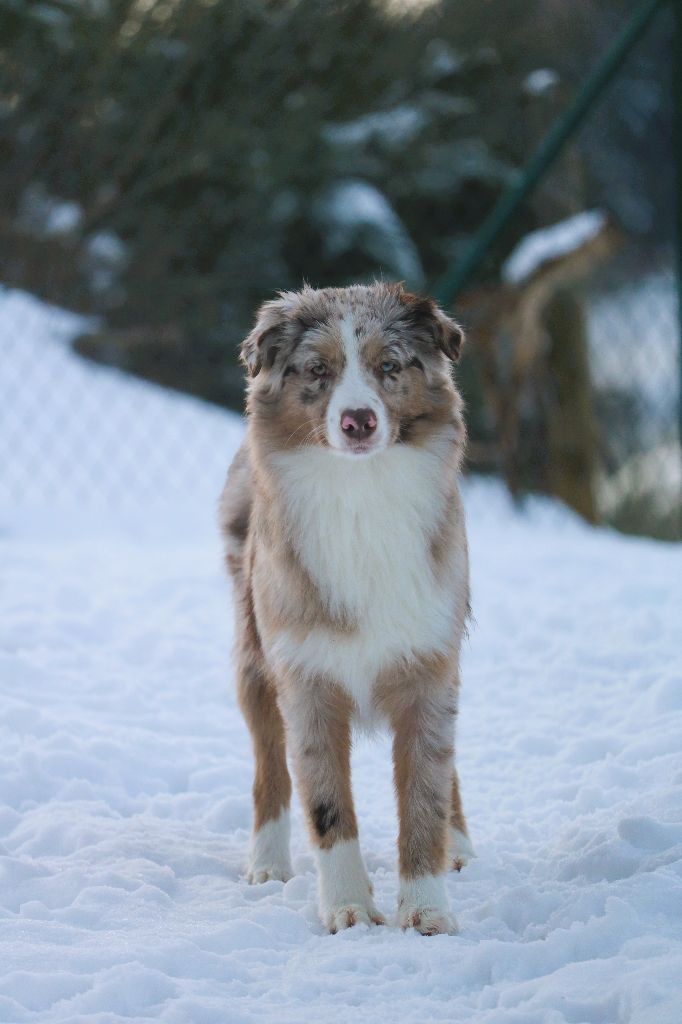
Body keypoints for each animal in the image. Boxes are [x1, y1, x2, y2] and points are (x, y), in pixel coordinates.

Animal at [219, 282, 473, 937]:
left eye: (390, 366)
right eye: (318, 371)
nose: (359, 420)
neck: (360, 498)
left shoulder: (430, 666)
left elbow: (425, 794)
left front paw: (427, 911)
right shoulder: (307, 680)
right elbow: (326, 804)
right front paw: (349, 910)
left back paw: (461, 846)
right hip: (254, 664)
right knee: (269, 770)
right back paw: (267, 863)